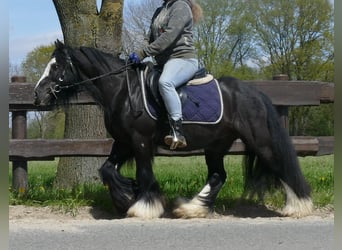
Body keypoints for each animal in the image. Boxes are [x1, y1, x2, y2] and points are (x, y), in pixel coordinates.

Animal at [32, 41, 312, 219]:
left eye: (56, 67)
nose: (37, 96)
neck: (123, 91)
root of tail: (254, 93)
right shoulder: (122, 142)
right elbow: (107, 170)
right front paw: (126, 196)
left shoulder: (140, 141)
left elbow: (144, 173)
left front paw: (143, 206)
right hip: (216, 146)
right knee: (218, 176)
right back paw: (191, 208)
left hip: (260, 141)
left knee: (282, 166)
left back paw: (299, 206)